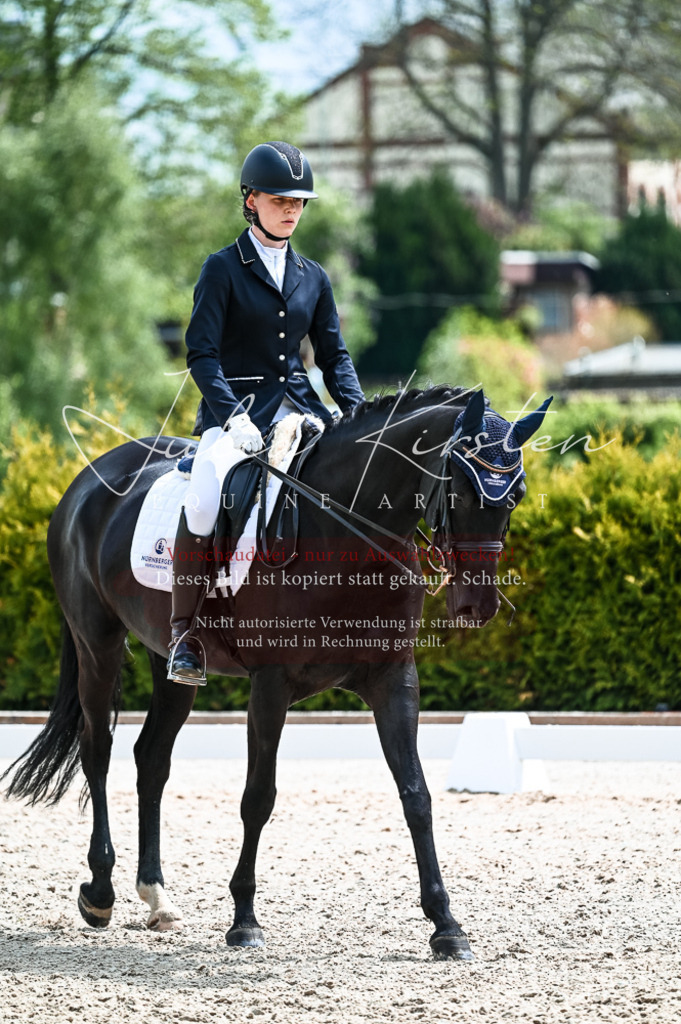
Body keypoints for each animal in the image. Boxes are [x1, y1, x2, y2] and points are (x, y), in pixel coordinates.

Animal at [3, 385, 550, 960]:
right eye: (461, 492)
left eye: (515, 496)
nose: (477, 607)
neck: (344, 535)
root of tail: (89, 478)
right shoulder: (271, 685)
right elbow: (258, 797)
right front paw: (244, 920)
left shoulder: (394, 680)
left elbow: (416, 796)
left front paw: (446, 926)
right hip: (98, 644)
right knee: (97, 751)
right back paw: (100, 893)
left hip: (169, 661)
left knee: (151, 758)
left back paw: (156, 897)